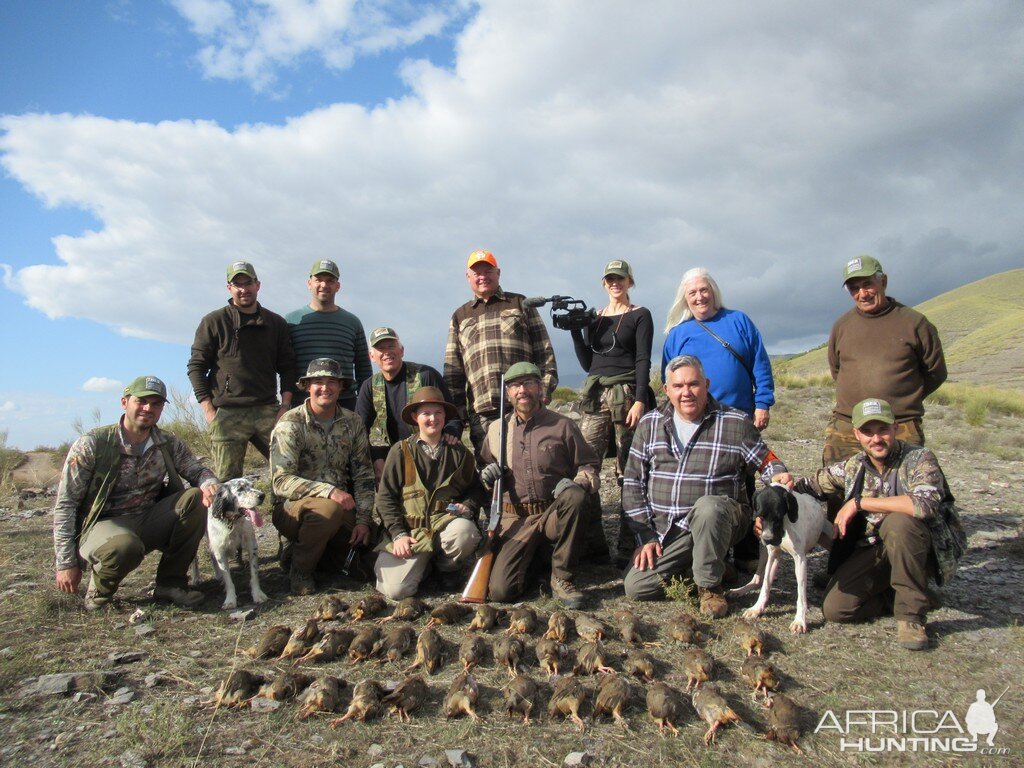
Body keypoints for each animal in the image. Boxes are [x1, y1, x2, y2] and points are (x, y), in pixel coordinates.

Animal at [194, 479, 270, 610]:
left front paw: (258, 594)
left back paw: (218, 575)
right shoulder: (220, 550)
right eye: (240, 489)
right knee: (195, 558)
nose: (262, 495)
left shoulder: (252, 546)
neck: (232, 521)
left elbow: (254, 574)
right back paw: (196, 578)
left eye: (252, 485)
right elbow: (228, 579)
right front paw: (230, 600)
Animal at [729, 483, 831, 634]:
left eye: (778, 516)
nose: (768, 539)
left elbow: (801, 594)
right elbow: (766, 584)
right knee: (758, 579)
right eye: (760, 516)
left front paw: (799, 621)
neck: (785, 526)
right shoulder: (773, 555)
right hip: (764, 552)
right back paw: (740, 590)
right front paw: (757, 608)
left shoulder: (800, 560)